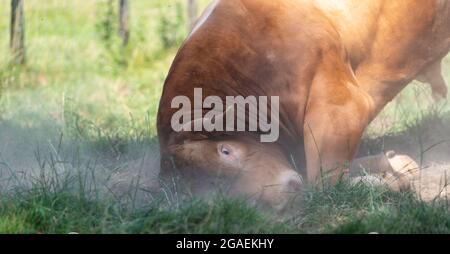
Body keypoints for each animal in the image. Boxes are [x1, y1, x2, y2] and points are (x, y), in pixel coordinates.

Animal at [156, 0, 450, 209]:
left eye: (225, 151)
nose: (283, 197)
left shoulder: (342, 107)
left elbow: (324, 180)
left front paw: (388, 180)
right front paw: (396, 165)